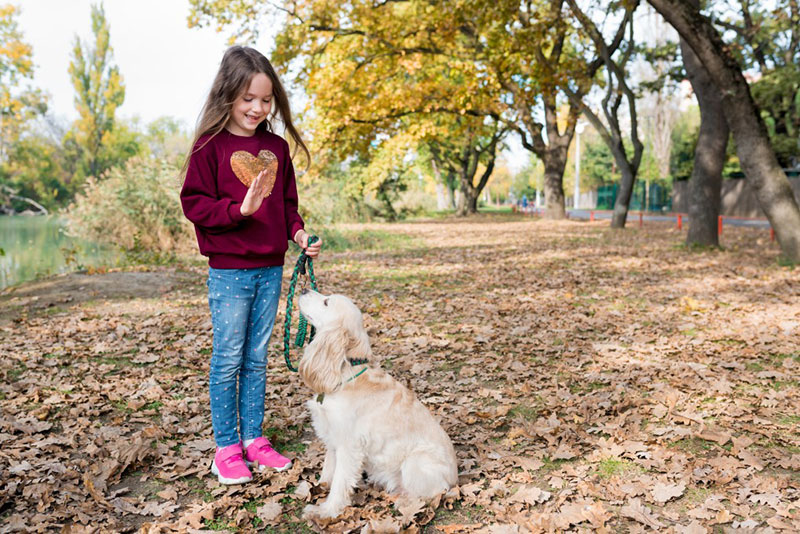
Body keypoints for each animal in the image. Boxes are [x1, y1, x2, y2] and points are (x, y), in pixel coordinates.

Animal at [296, 292, 460, 520]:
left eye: (326, 301)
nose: (304, 290)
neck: (345, 369)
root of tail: (456, 481)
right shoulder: (332, 437)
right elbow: (328, 470)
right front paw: (319, 489)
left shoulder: (349, 445)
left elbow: (339, 482)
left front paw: (327, 511)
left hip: (415, 462)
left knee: (433, 494)